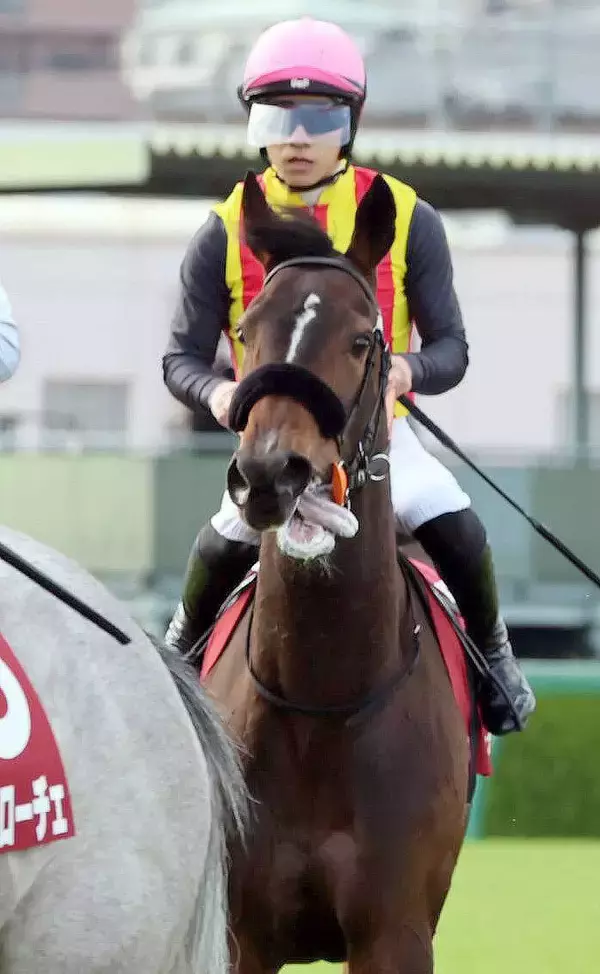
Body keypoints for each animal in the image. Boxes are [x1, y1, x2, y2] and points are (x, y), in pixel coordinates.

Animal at [198, 171, 473, 974]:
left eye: (360, 340)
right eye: (248, 331)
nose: (269, 474)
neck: (323, 701)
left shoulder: (396, 933)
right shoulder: (244, 933)